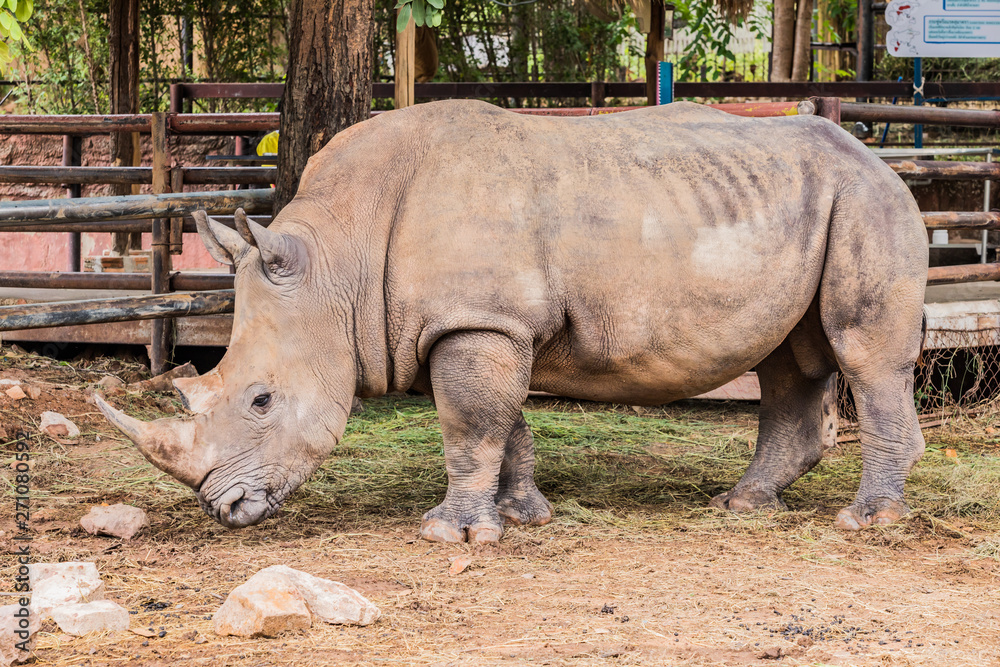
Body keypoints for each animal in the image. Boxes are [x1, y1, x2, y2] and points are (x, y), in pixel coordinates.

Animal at [96, 100, 928, 542]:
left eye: (262, 399)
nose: (222, 507)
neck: (338, 262)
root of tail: (878, 157)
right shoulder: (489, 320)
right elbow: (504, 421)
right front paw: (521, 514)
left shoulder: (479, 321)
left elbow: (468, 422)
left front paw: (450, 532)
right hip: (814, 200)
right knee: (790, 359)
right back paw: (743, 503)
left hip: (867, 199)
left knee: (863, 353)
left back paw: (866, 520)